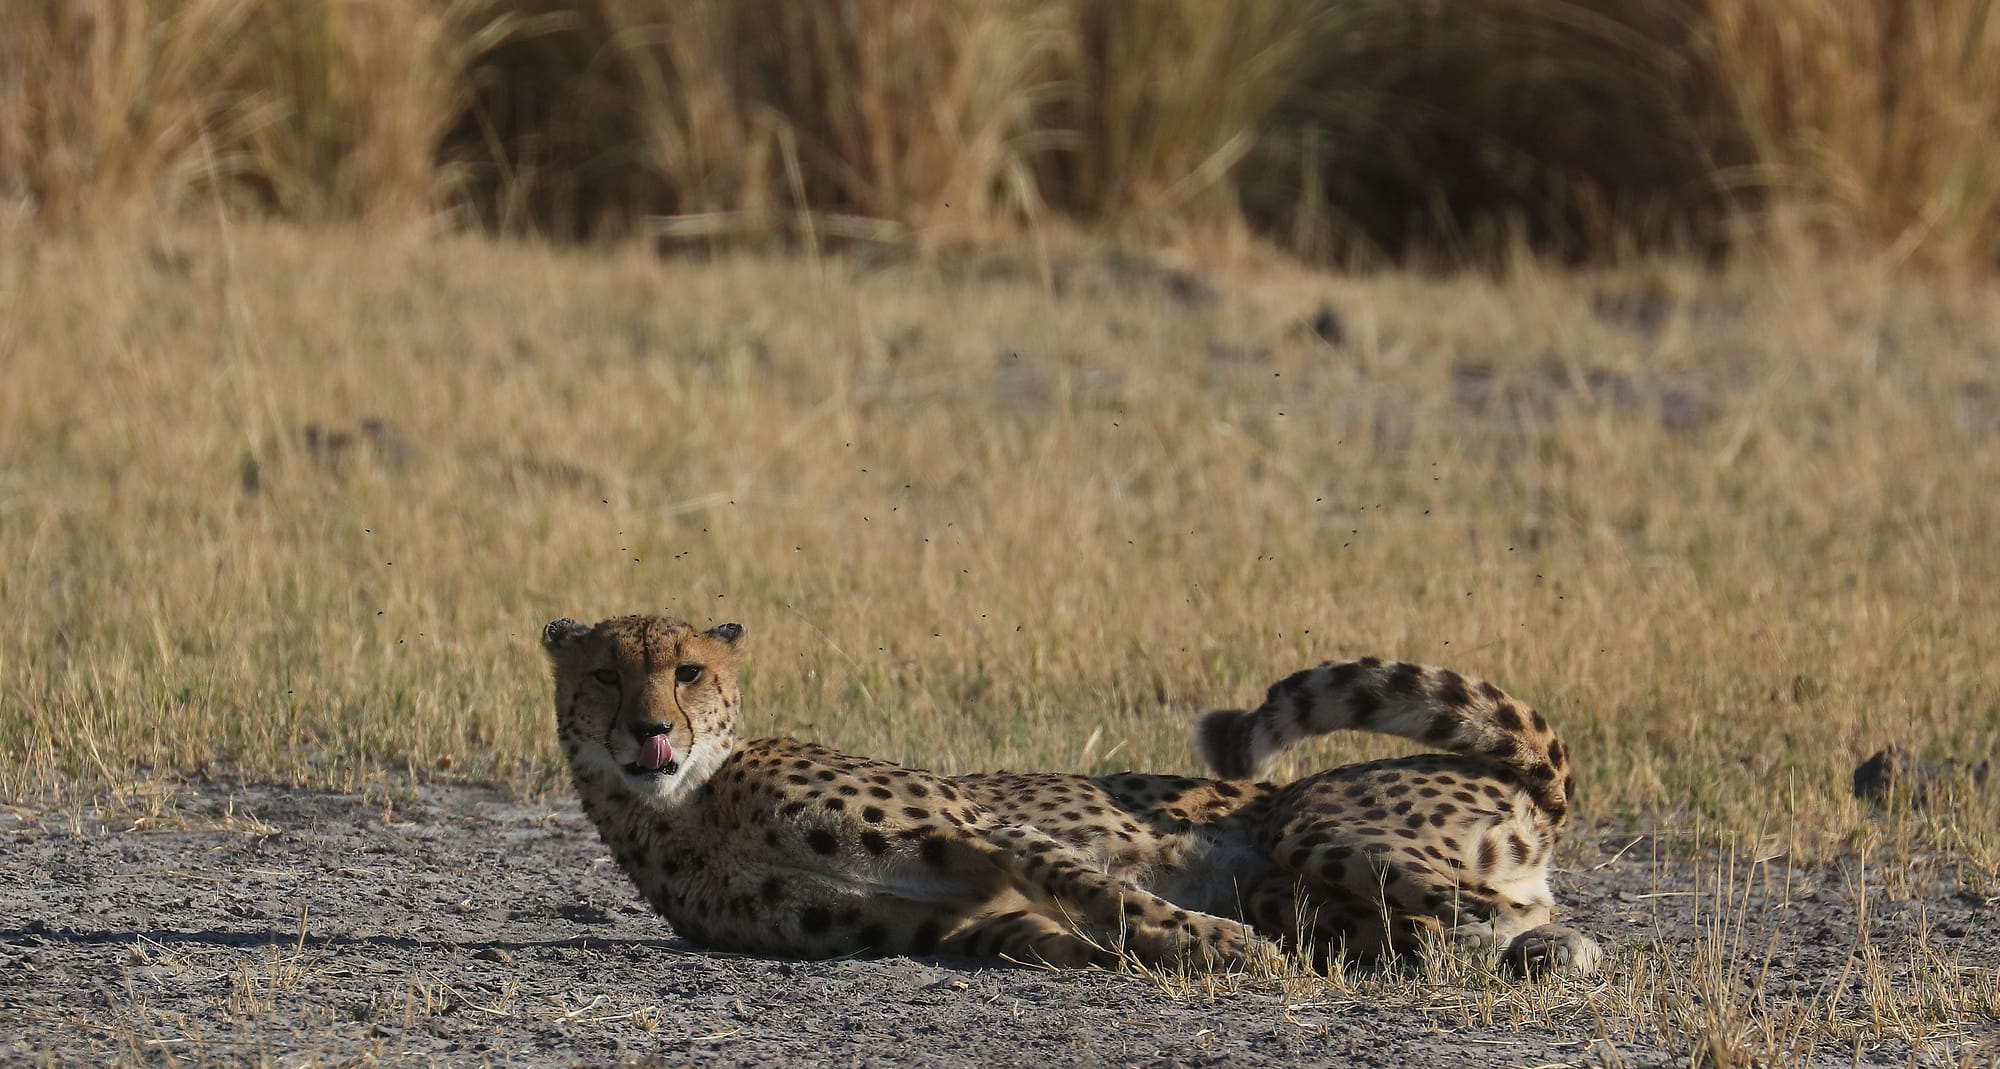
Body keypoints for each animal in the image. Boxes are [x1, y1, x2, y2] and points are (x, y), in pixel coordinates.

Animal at [540, 616, 1600, 976]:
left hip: (1319, 821)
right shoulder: (955, 923)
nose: (648, 730)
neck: (687, 807)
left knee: (1505, 916)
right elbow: (1048, 928)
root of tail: (1528, 783)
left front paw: (1218, 947)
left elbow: (1090, 878)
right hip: (1308, 874)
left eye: (686, 671)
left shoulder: (979, 828)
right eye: (605, 675)